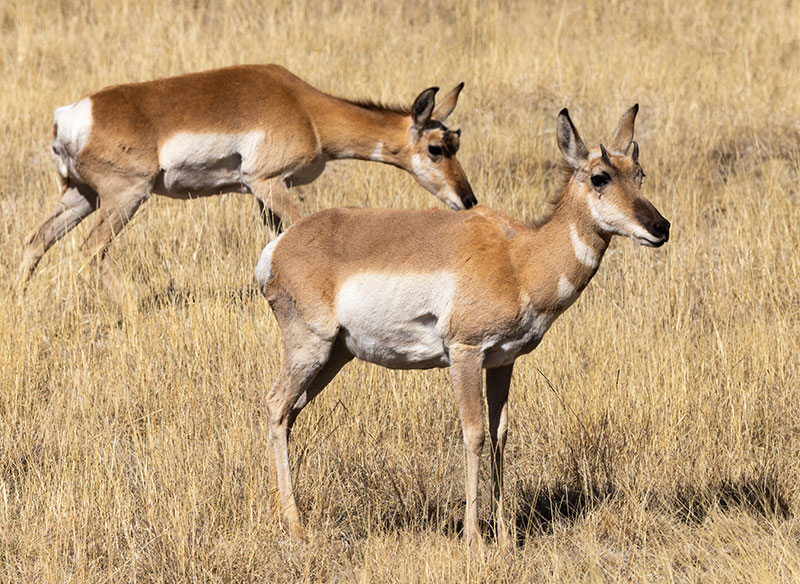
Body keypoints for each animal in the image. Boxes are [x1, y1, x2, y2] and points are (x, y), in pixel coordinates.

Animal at [18, 64, 475, 302]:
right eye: (436, 147)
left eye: (457, 140)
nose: (468, 200)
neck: (305, 108)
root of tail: (73, 114)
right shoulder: (268, 183)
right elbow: (298, 228)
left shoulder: (263, 193)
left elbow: (275, 242)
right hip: (124, 198)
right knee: (91, 247)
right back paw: (132, 306)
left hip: (80, 197)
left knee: (37, 240)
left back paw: (19, 300)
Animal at [256, 105, 669, 549]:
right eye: (599, 177)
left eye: (639, 173)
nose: (660, 227)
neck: (519, 258)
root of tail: (278, 248)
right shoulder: (465, 353)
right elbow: (473, 432)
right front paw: (474, 539)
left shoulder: (503, 362)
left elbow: (500, 432)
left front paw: (505, 538)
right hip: (310, 348)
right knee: (275, 405)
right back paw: (296, 527)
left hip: (335, 356)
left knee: (289, 413)